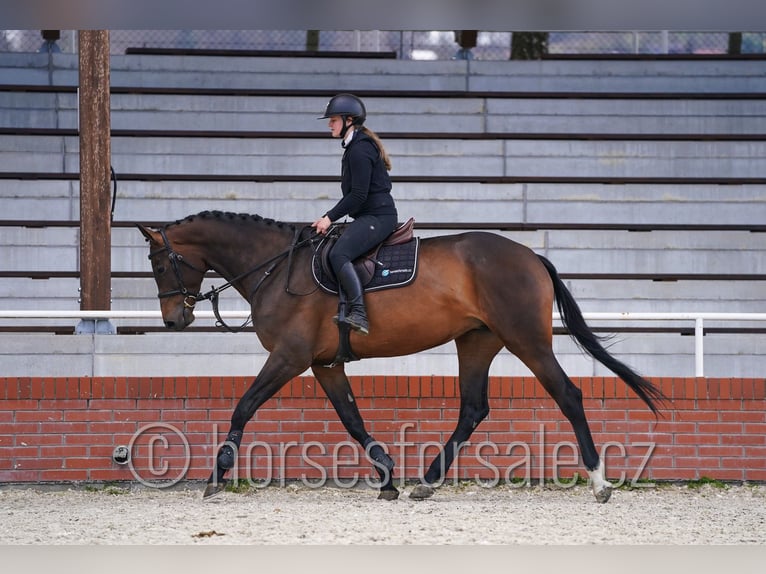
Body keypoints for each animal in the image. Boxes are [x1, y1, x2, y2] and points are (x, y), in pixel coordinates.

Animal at [138, 210, 666, 503]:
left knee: (567, 394)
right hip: (477, 341)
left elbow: (243, 407)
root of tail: (530, 256)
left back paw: (599, 483)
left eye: (160, 264)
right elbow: (352, 421)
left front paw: (216, 478)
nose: (173, 321)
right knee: (473, 409)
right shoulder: (325, 364)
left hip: (525, 339)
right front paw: (388, 477)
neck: (276, 267)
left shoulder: (290, 357)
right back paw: (426, 482)